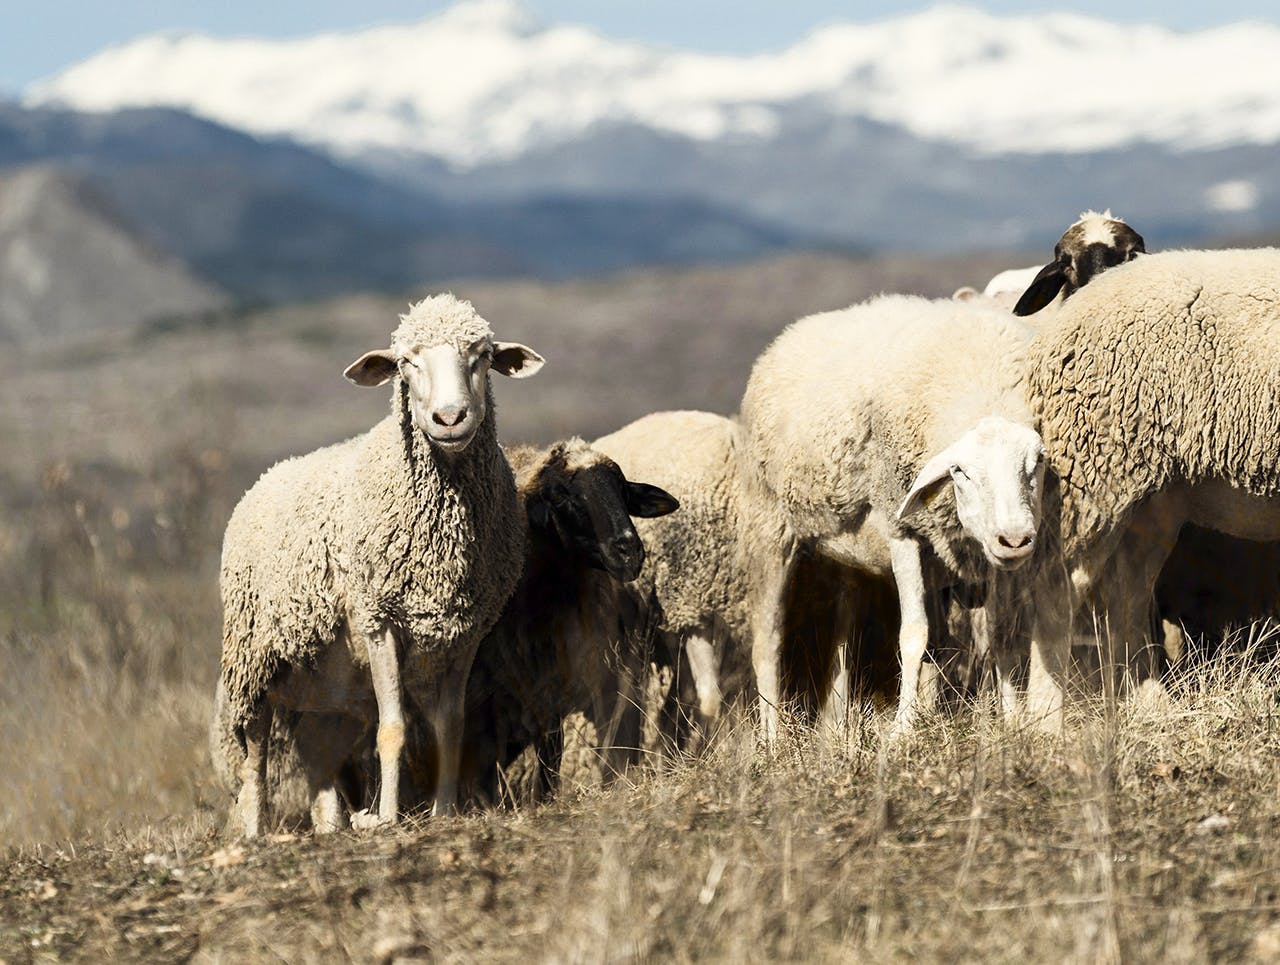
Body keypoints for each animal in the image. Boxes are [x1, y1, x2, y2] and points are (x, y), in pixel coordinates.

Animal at [216, 295, 545, 834]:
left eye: (481, 356)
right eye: (407, 363)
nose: (450, 418)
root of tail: (265, 477)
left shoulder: (465, 630)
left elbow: (449, 726)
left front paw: (444, 810)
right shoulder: (378, 619)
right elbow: (392, 728)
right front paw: (390, 817)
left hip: (326, 683)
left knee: (319, 752)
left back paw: (333, 823)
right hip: (253, 655)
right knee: (256, 750)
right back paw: (256, 828)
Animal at [742, 293, 1049, 737]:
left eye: (1037, 462)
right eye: (961, 471)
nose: (1015, 539)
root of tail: (785, 337)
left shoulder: (982, 555)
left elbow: (1000, 633)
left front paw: (1012, 722)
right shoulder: (901, 529)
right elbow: (913, 635)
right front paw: (903, 729)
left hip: (849, 557)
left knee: (844, 638)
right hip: (769, 524)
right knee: (768, 640)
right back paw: (772, 737)